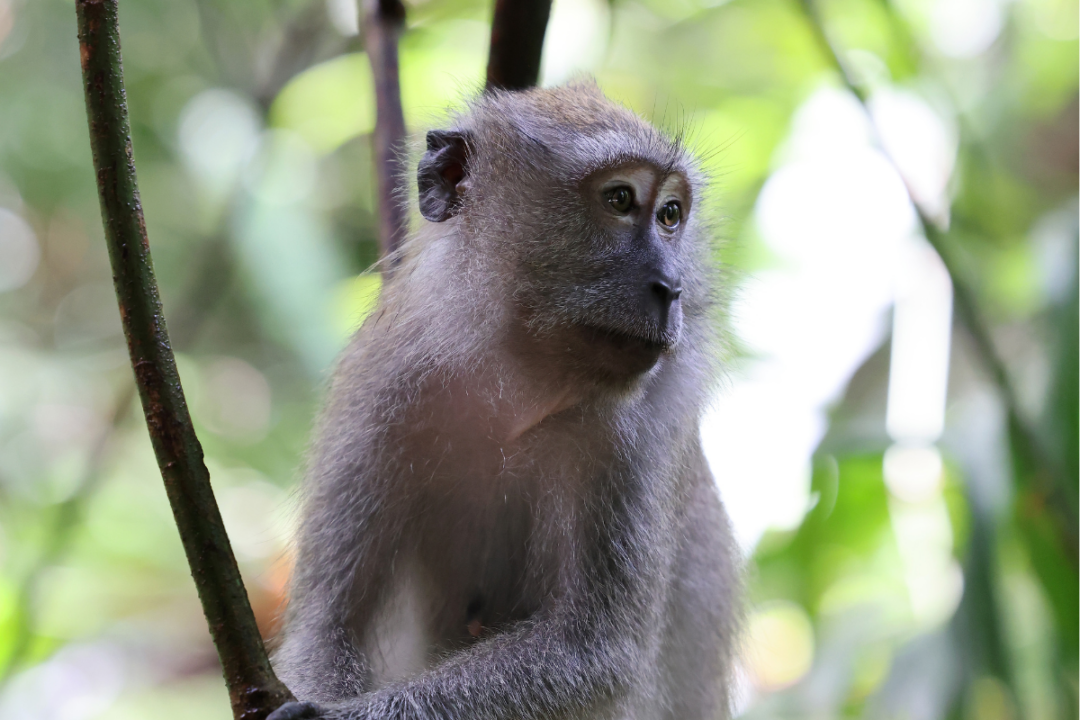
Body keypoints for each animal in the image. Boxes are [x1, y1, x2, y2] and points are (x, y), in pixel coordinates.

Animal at [270, 81, 743, 720]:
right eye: (621, 199)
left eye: (670, 215)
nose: (671, 288)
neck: (516, 380)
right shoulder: (379, 385)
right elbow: (326, 628)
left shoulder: (636, 430)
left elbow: (589, 653)